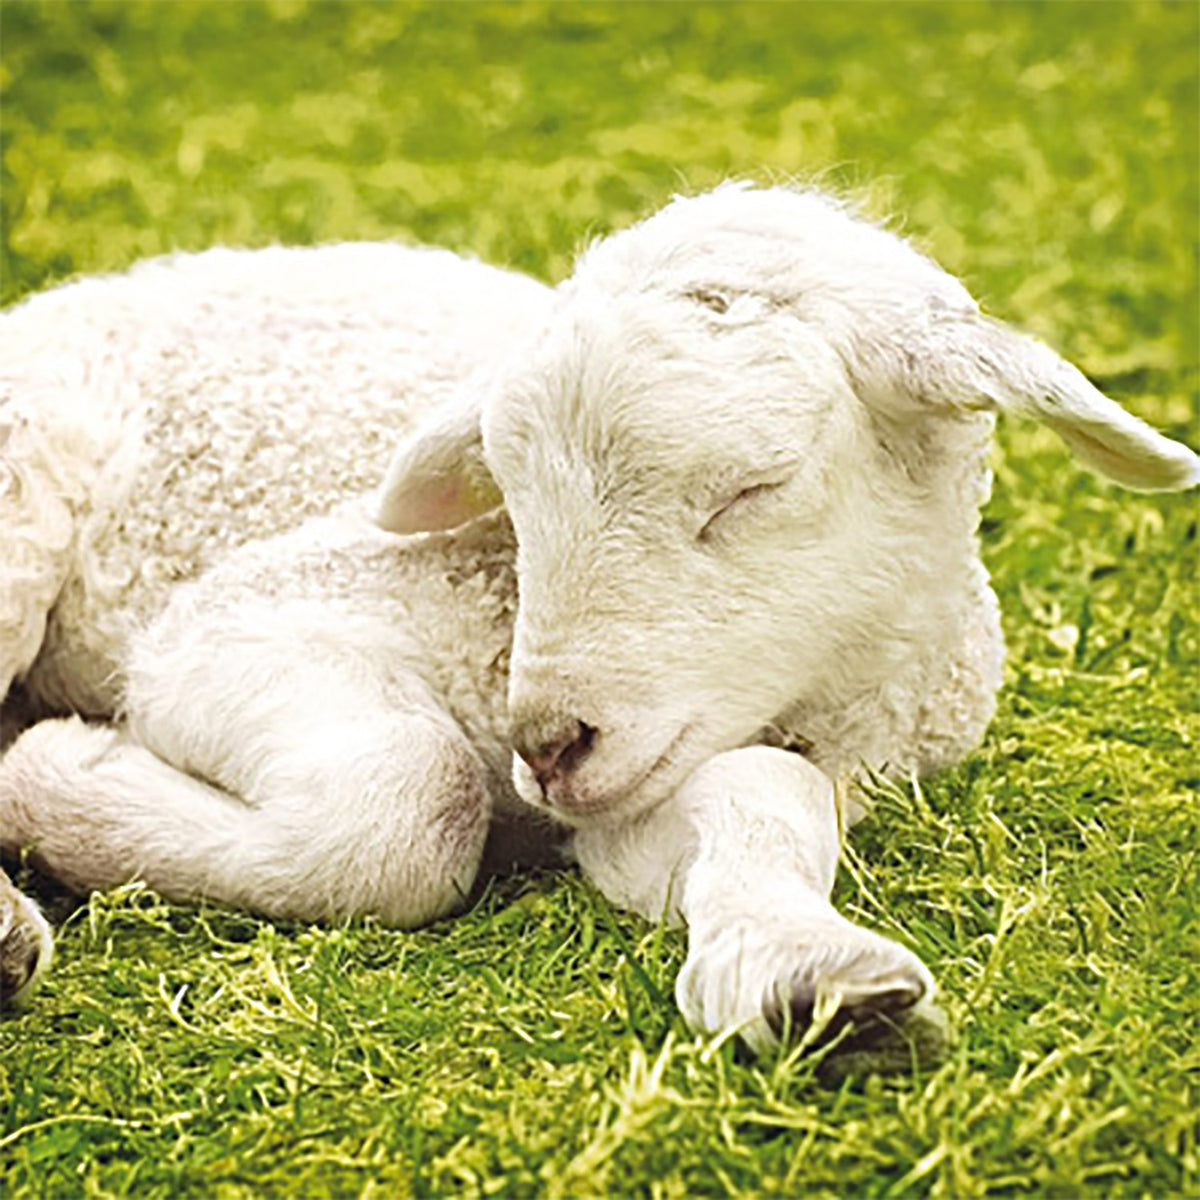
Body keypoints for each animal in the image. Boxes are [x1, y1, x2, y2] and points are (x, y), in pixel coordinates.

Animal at [2, 184, 1196, 1056]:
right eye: (511, 493)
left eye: (755, 487)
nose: (546, 743)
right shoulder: (238, 618)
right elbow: (409, 803)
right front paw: (60, 778)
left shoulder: (655, 783)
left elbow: (760, 796)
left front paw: (808, 981)